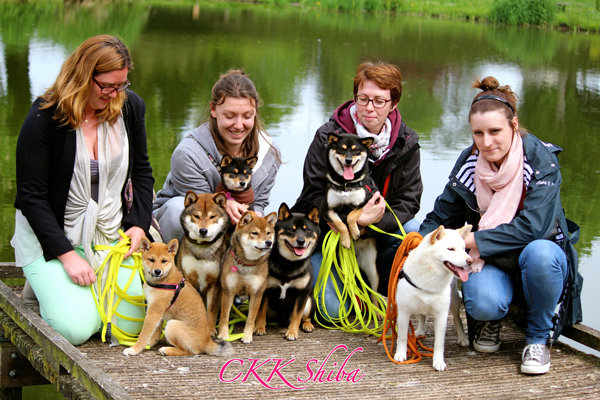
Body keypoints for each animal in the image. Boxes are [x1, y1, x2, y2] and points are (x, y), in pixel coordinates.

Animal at [214, 209, 278, 344]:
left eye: (268, 233)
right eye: (255, 233)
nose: (269, 242)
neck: (247, 263)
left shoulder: (256, 293)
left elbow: (251, 319)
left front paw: (247, 336)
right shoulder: (228, 292)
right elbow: (224, 317)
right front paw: (224, 334)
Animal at [254, 203, 322, 340]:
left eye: (307, 230)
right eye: (291, 229)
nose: (301, 241)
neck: (289, 262)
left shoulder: (302, 294)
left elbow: (297, 315)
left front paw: (292, 332)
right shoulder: (265, 290)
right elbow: (261, 312)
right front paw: (259, 327)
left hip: (309, 302)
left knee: (305, 318)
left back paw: (307, 325)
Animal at [322, 133, 382, 304]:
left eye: (356, 151)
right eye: (342, 149)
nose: (348, 160)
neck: (345, 185)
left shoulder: (367, 201)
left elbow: (350, 215)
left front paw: (354, 232)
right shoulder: (327, 209)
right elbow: (340, 223)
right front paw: (346, 239)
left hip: (372, 270)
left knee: (373, 293)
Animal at [394, 225, 474, 372]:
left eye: (464, 248)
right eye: (450, 249)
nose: (470, 261)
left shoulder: (441, 315)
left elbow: (439, 343)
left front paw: (438, 362)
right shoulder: (403, 311)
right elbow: (402, 337)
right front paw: (400, 354)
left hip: (454, 300)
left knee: (456, 318)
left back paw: (462, 337)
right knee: (422, 315)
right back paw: (420, 331)